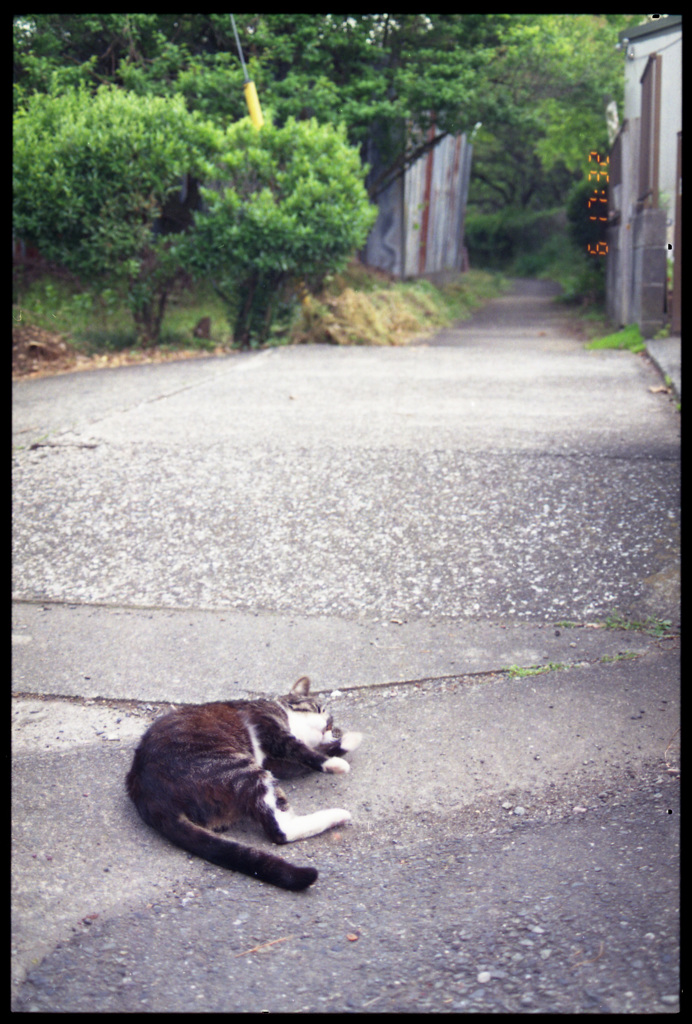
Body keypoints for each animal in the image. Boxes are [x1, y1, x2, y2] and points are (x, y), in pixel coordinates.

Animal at [126, 679, 362, 888]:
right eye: (319, 709)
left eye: (330, 725)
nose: (330, 725)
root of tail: (149, 798)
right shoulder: (269, 728)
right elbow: (302, 750)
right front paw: (339, 756)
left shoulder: (279, 763)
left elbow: (310, 754)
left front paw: (342, 742)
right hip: (241, 770)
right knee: (280, 831)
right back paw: (337, 815)